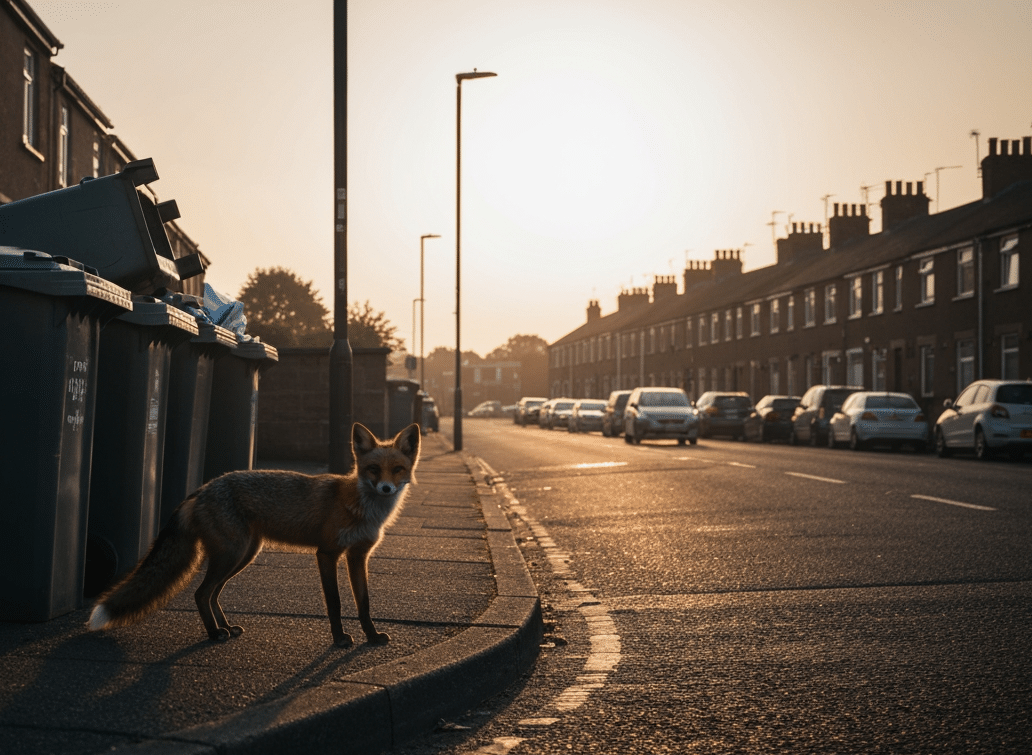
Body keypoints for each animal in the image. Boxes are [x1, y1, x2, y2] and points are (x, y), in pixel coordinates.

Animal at [88, 422, 420, 646]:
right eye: (373, 469)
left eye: (398, 469)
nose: (386, 489)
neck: (362, 507)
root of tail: (203, 488)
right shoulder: (326, 553)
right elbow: (335, 603)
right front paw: (339, 640)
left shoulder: (358, 556)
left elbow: (364, 603)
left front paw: (372, 636)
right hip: (231, 554)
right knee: (201, 593)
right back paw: (214, 633)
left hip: (243, 555)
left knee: (213, 593)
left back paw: (226, 628)